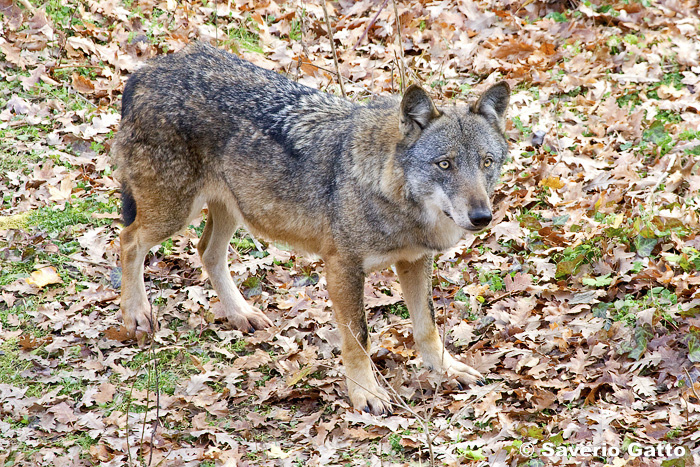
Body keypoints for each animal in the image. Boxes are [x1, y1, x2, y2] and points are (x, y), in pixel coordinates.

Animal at [113, 43, 508, 416]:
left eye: (486, 163)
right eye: (445, 164)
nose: (481, 217)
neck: (390, 191)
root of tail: (146, 71)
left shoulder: (415, 260)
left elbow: (427, 325)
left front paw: (447, 369)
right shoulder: (342, 267)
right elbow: (359, 337)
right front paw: (365, 394)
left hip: (234, 210)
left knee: (206, 252)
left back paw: (242, 314)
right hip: (175, 214)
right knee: (128, 240)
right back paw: (136, 314)